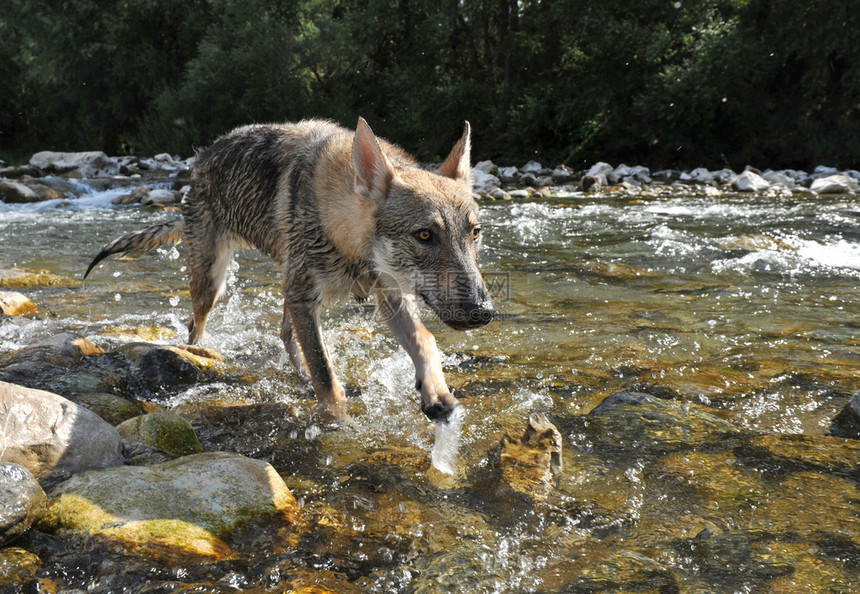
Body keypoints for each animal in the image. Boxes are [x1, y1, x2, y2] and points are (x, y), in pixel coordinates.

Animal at [86, 118, 494, 418]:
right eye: (425, 235)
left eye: (475, 233)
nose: (484, 312)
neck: (346, 241)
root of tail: (198, 162)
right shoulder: (306, 297)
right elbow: (327, 377)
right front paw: (338, 422)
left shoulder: (390, 295)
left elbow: (425, 341)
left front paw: (436, 392)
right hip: (213, 283)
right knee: (195, 326)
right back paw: (200, 354)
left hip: (284, 283)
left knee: (285, 333)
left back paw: (297, 374)